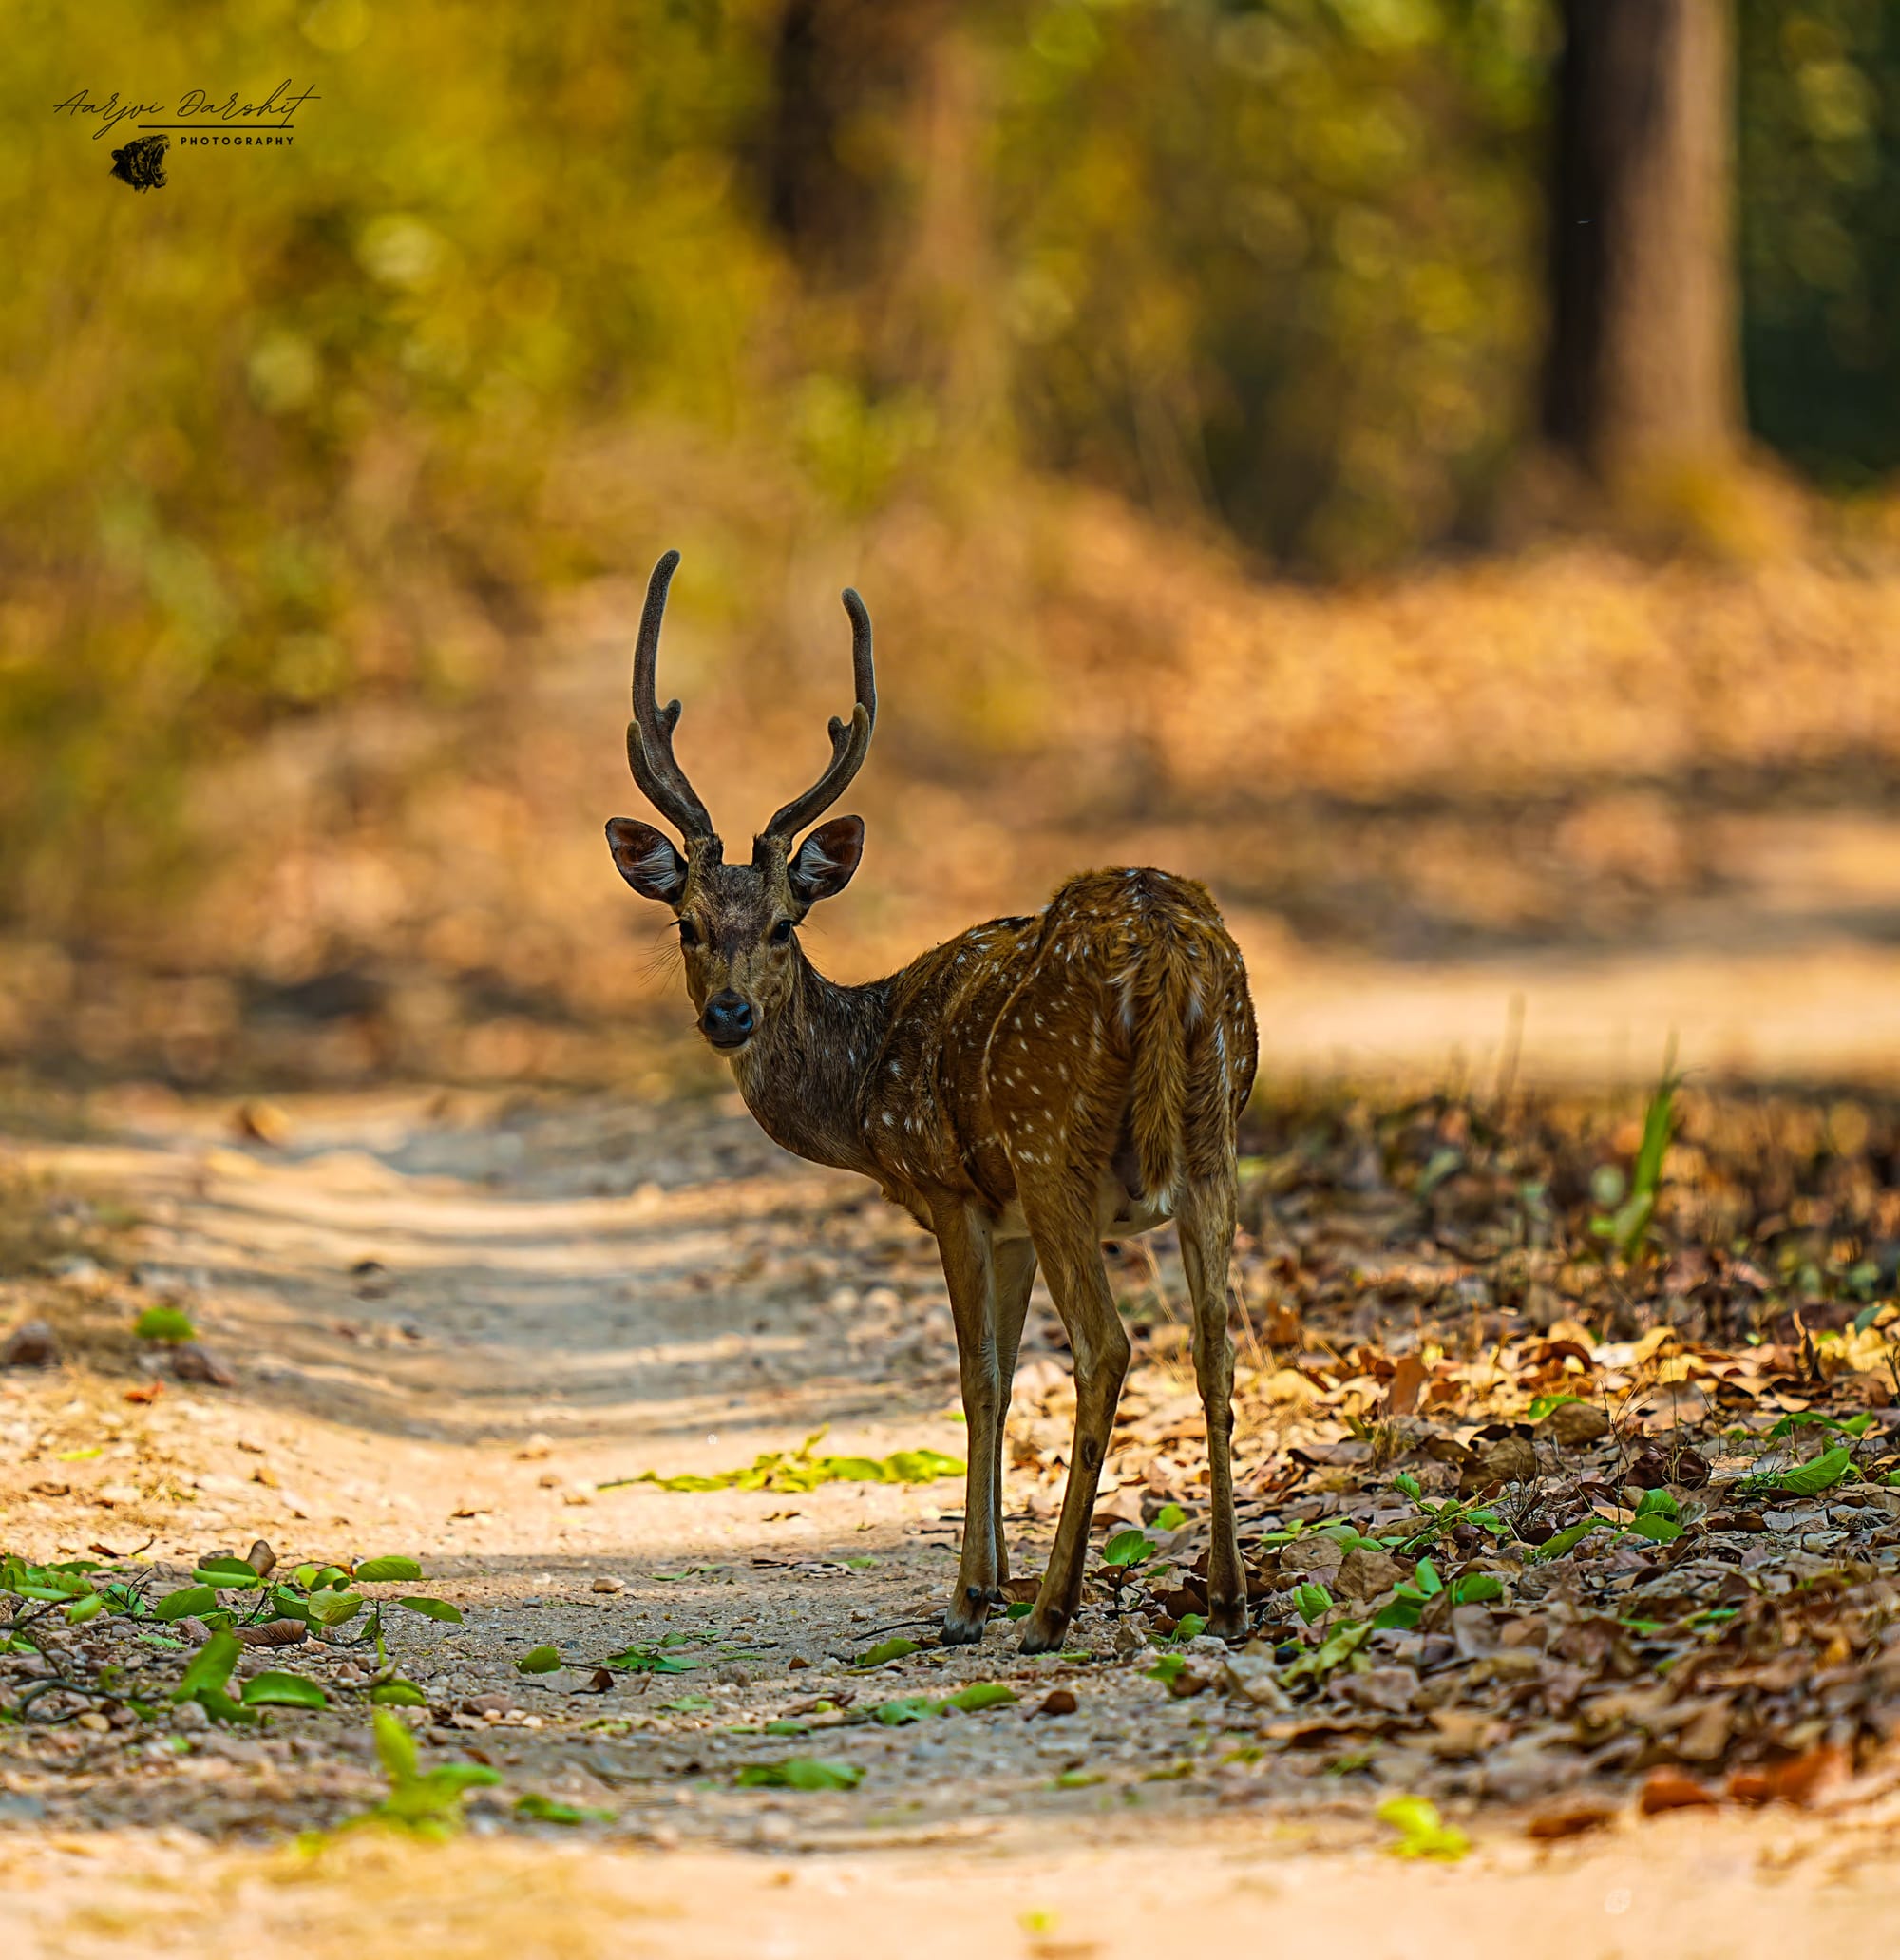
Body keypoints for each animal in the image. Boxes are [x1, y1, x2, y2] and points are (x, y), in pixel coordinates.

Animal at [606, 550, 1259, 1653]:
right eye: (687, 923)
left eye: (783, 924)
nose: (730, 1013)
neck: (866, 1088)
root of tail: (1170, 942)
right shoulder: (1005, 1220)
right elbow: (1002, 1368)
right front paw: (985, 1578)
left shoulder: (955, 1189)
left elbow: (977, 1373)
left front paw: (968, 1597)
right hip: (1214, 1138)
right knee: (1217, 1344)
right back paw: (1224, 1593)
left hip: (1050, 1141)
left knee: (1107, 1346)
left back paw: (1052, 1609)